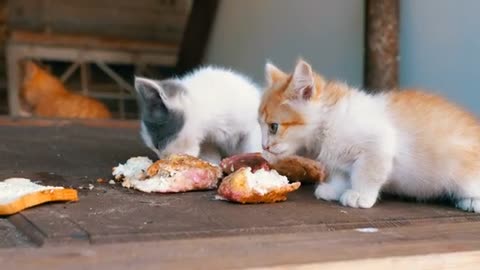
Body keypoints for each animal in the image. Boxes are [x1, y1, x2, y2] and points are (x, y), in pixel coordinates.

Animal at [260, 59, 480, 213]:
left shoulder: (378, 144)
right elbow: (342, 174)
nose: (264, 146)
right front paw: (334, 189)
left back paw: (471, 201)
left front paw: (359, 195)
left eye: (273, 127)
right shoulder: (339, 160)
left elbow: (366, 173)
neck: (330, 122)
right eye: (260, 125)